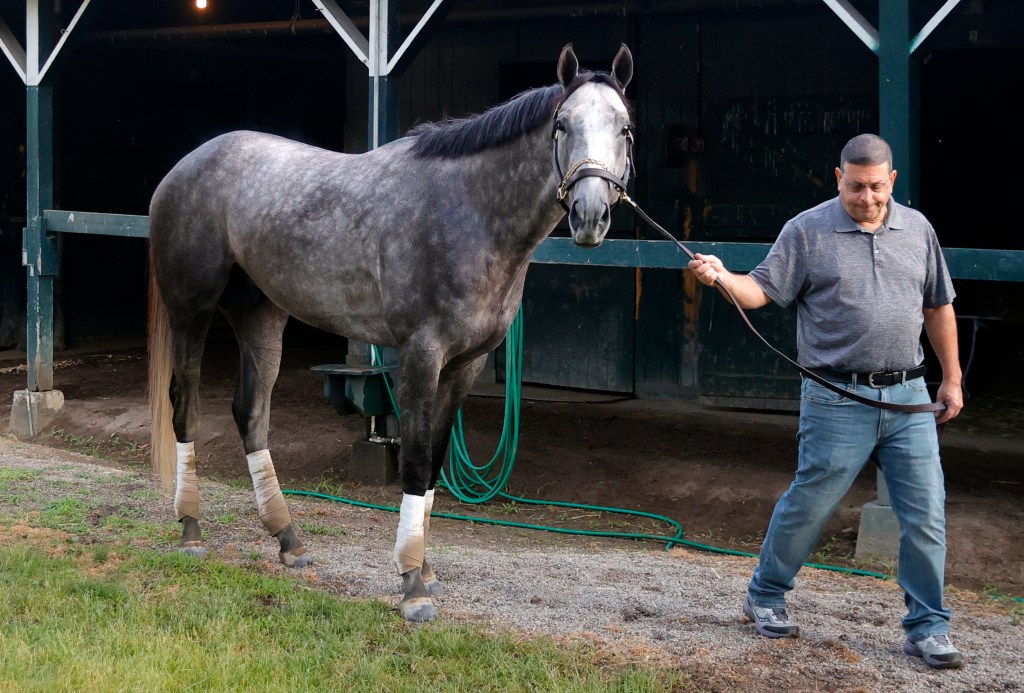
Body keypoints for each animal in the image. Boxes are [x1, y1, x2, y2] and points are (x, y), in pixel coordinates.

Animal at [148, 40, 634, 618]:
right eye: (562, 124)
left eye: (625, 129)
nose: (590, 214)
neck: (469, 209)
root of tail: (181, 169)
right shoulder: (421, 355)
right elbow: (417, 459)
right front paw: (412, 586)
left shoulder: (464, 365)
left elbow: (437, 461)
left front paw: (424, 569)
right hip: (191, 311)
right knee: (185, 406)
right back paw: (191, 529)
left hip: (262, 317)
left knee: (251, 414)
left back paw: (289, 540)